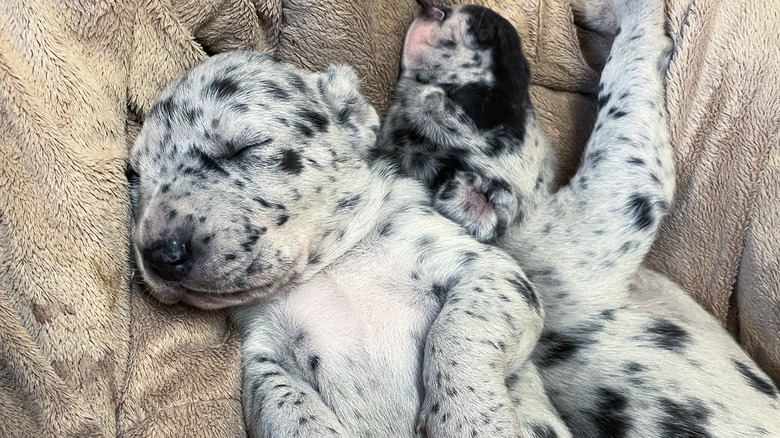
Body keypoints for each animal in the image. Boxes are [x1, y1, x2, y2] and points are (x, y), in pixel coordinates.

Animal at [125, 52, 568, 438]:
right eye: (135, 177)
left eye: (243, 148)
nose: (161, 255)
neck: (330, 267)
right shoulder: (263, 356)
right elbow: (288, 408)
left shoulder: (490, 270)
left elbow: (457, 331)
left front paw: (471, 421)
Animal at [372, 2, 780, 434]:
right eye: (478, 99)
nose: (434, 11)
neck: (522, 226)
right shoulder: (621, 176)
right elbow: (624, 75)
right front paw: (635, 15)